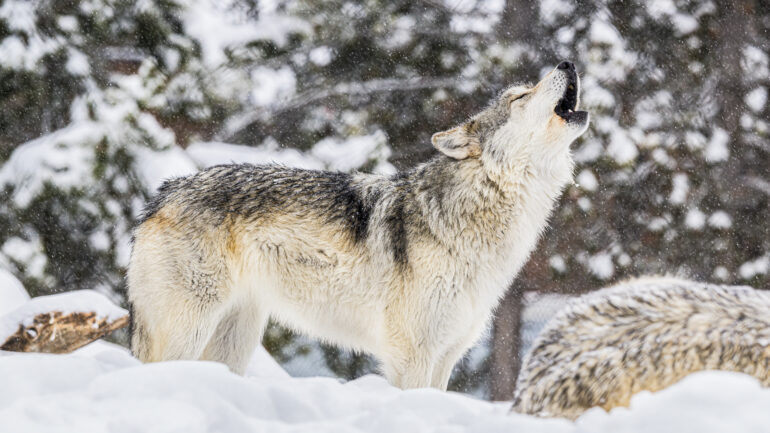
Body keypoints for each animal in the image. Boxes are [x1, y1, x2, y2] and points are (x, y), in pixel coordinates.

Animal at [127, 61, 589, 390]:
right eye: (520, 96)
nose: (567, 62)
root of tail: (164, 192)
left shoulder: (446, 355)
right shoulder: (413, 355)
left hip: (233, 341)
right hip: (188, 331)